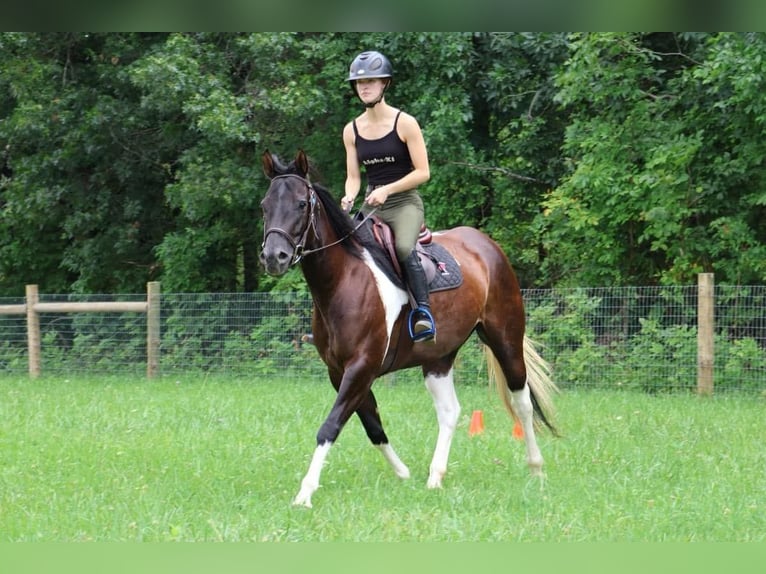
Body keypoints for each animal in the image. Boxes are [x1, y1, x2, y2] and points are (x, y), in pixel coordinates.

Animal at [259, 150, 559, 508]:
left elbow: (330, 425)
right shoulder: (339, 371)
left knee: (522, 401)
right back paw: (435, 477)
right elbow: (372, 426)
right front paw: (403, 473)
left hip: (506, 340)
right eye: (264, 205)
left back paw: (537, 470)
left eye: (302, 203)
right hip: (438, 358)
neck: (345, 281)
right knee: (449, 411)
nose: (274, 256)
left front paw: (305, 493)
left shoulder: (361, 368)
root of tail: (486, 245)